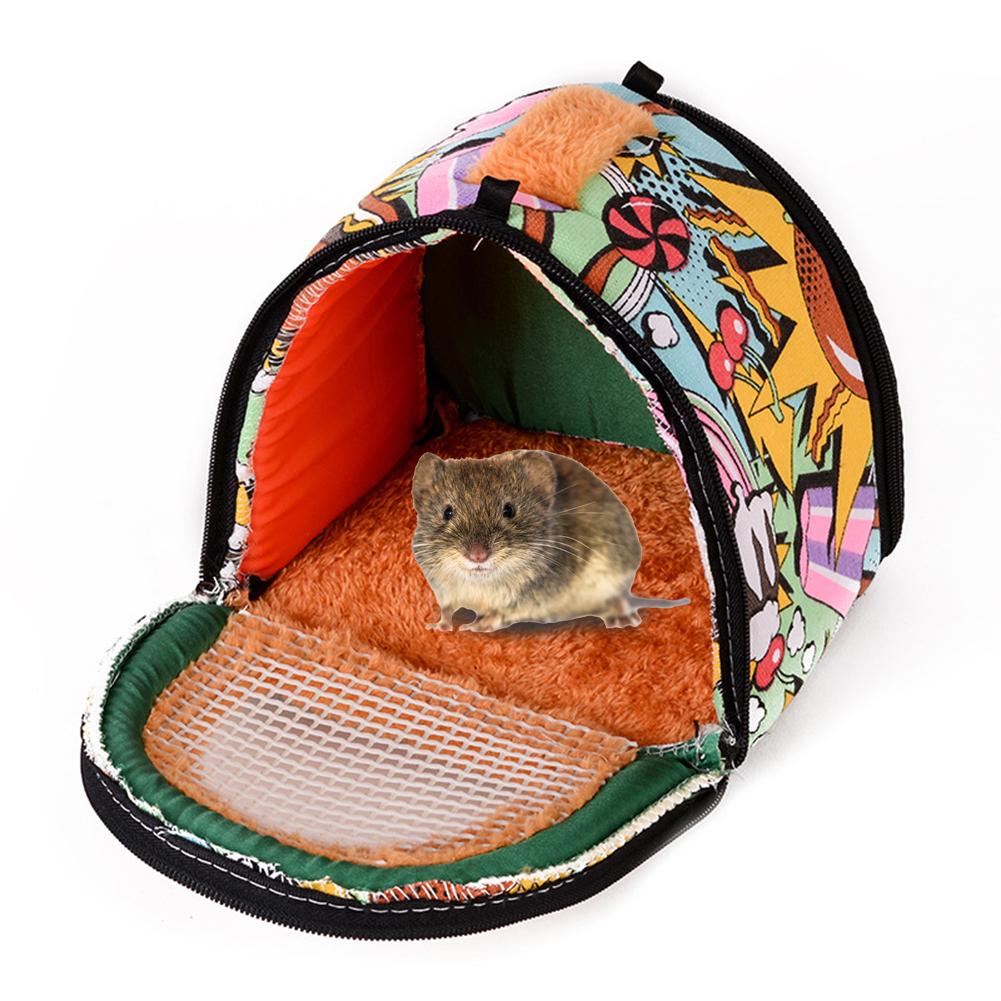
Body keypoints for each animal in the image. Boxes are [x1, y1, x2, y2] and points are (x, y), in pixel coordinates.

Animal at [411, 448, 686, 632]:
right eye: (447, 512)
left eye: (509, 510)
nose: (477, 555)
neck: (481, 583)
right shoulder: (444, 590)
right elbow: (447, 610)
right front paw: (437, 626)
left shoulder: (525, 598)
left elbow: (499, 613)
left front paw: (476, 626)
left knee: (617, 599)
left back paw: (621, 618)